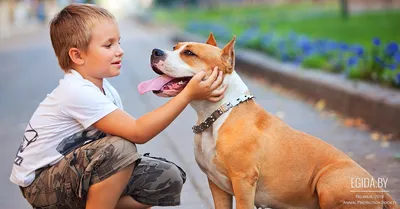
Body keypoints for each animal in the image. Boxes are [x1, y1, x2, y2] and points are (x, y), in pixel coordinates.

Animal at [138, 33, 396, 209]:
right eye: (175, 47)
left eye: (189, 53)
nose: (155, 51)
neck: (215, 115)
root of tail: (381, 191)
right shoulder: (217, 186)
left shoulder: (243, 183)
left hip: (330, 183)